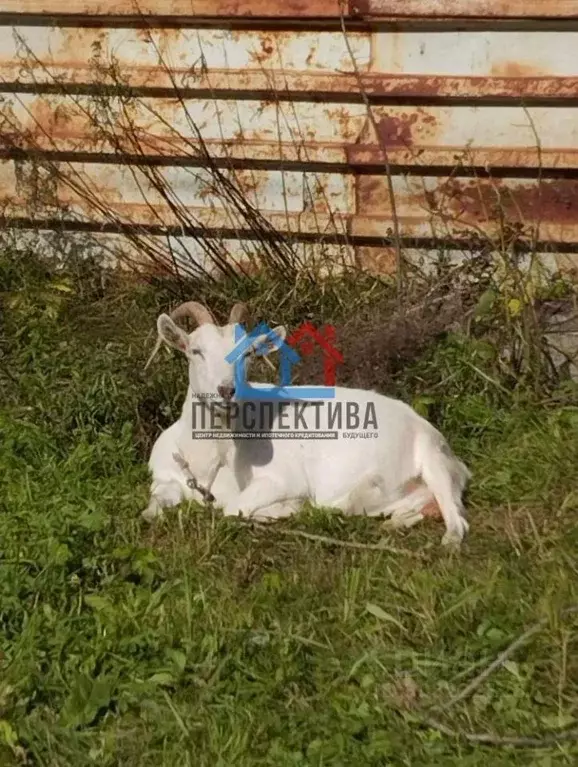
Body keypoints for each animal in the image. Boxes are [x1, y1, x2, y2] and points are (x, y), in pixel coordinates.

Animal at [142, 300, 470, 544]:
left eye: (248, 353)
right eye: (195, 351)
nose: (226, 390)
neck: (207, 461)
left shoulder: (281, 480)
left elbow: (232, 509)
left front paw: (285, 509)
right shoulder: (164, 477)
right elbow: (152, 508)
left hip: (431, 459)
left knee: (457, 521)